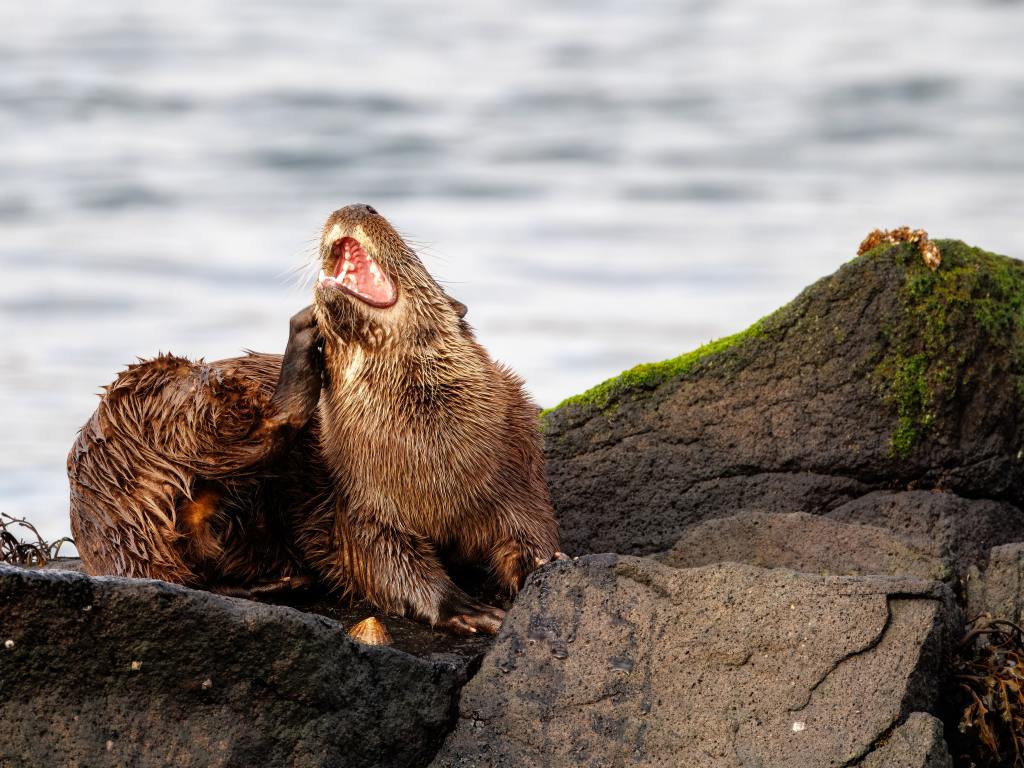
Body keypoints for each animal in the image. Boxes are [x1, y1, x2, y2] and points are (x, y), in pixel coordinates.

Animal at [68, 204, 562, 634]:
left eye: (414, 258)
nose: (358, 204)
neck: (433, 463)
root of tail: (98, 510)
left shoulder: (519, 472)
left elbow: (534, 539)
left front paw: (544, 569)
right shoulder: (362, 505)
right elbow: (387, 567)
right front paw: (465, 608)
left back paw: (278, 582)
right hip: (163, 396)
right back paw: (300, 345)